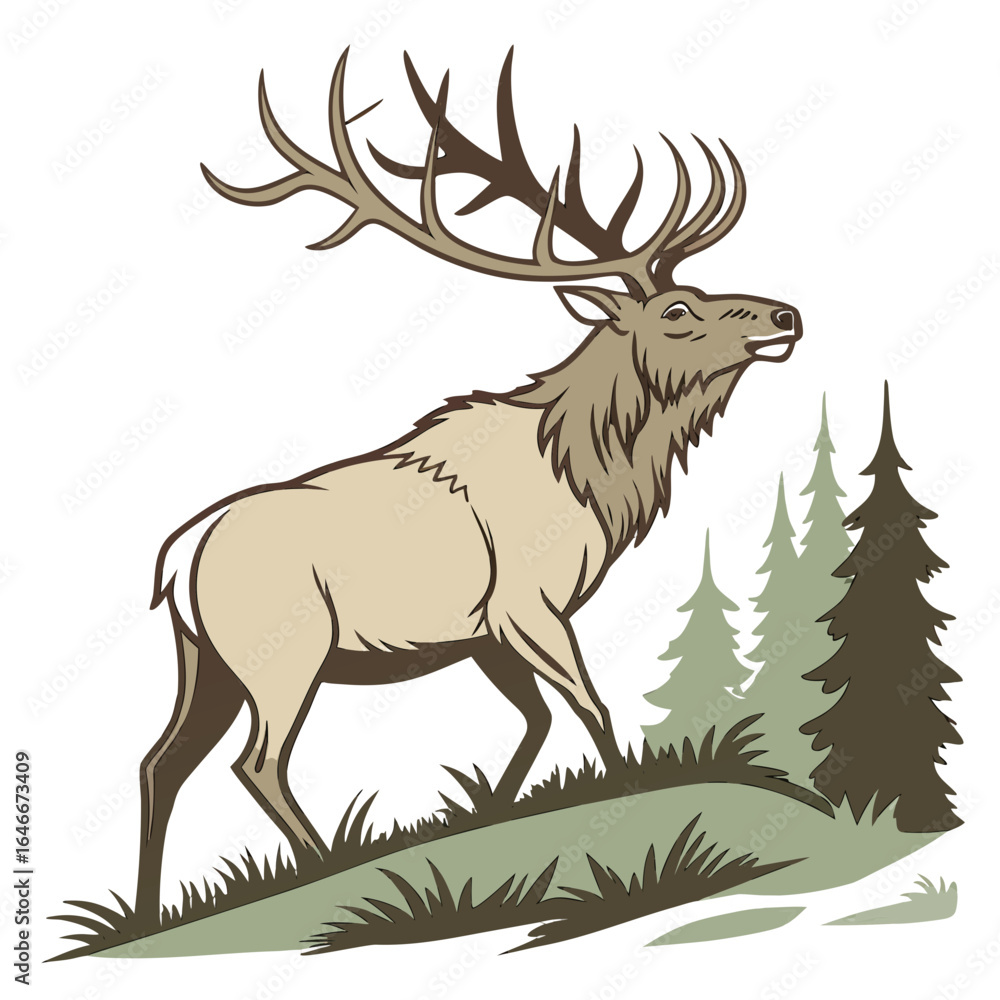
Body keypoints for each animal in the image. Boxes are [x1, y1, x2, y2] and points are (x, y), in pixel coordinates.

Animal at [135, 47, 802, 923]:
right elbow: (588, 705)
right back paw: (324, 866)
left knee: (160, 764)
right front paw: (625, 811)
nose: (786, 315)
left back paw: (143, 912)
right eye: (679, 312)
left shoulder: (482, 633)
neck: (589, 480)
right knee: (256, 761)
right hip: (281, 652)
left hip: (203, 660)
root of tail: (178, 558)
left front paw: (490, 814)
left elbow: (536, 722)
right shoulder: (529, 603)